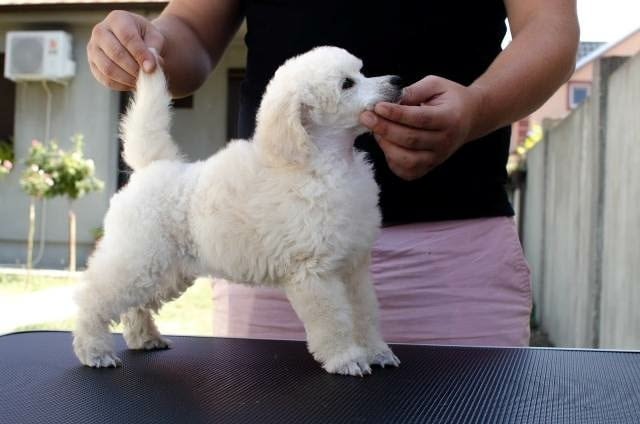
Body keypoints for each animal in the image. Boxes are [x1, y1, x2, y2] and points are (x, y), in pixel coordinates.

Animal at [74, 46, 400, 376]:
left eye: (361, 72)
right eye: (347, 84)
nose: (397, 81)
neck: (323, 162)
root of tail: (152, 166)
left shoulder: (353, 267)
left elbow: (364, 312)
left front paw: (376, 351)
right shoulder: (314, 273)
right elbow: (333, 320)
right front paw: (346, 358)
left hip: (166, 270)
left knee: (137, 304)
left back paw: (144, 338)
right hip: (139, 257)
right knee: (94, 297)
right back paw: (94, 349)